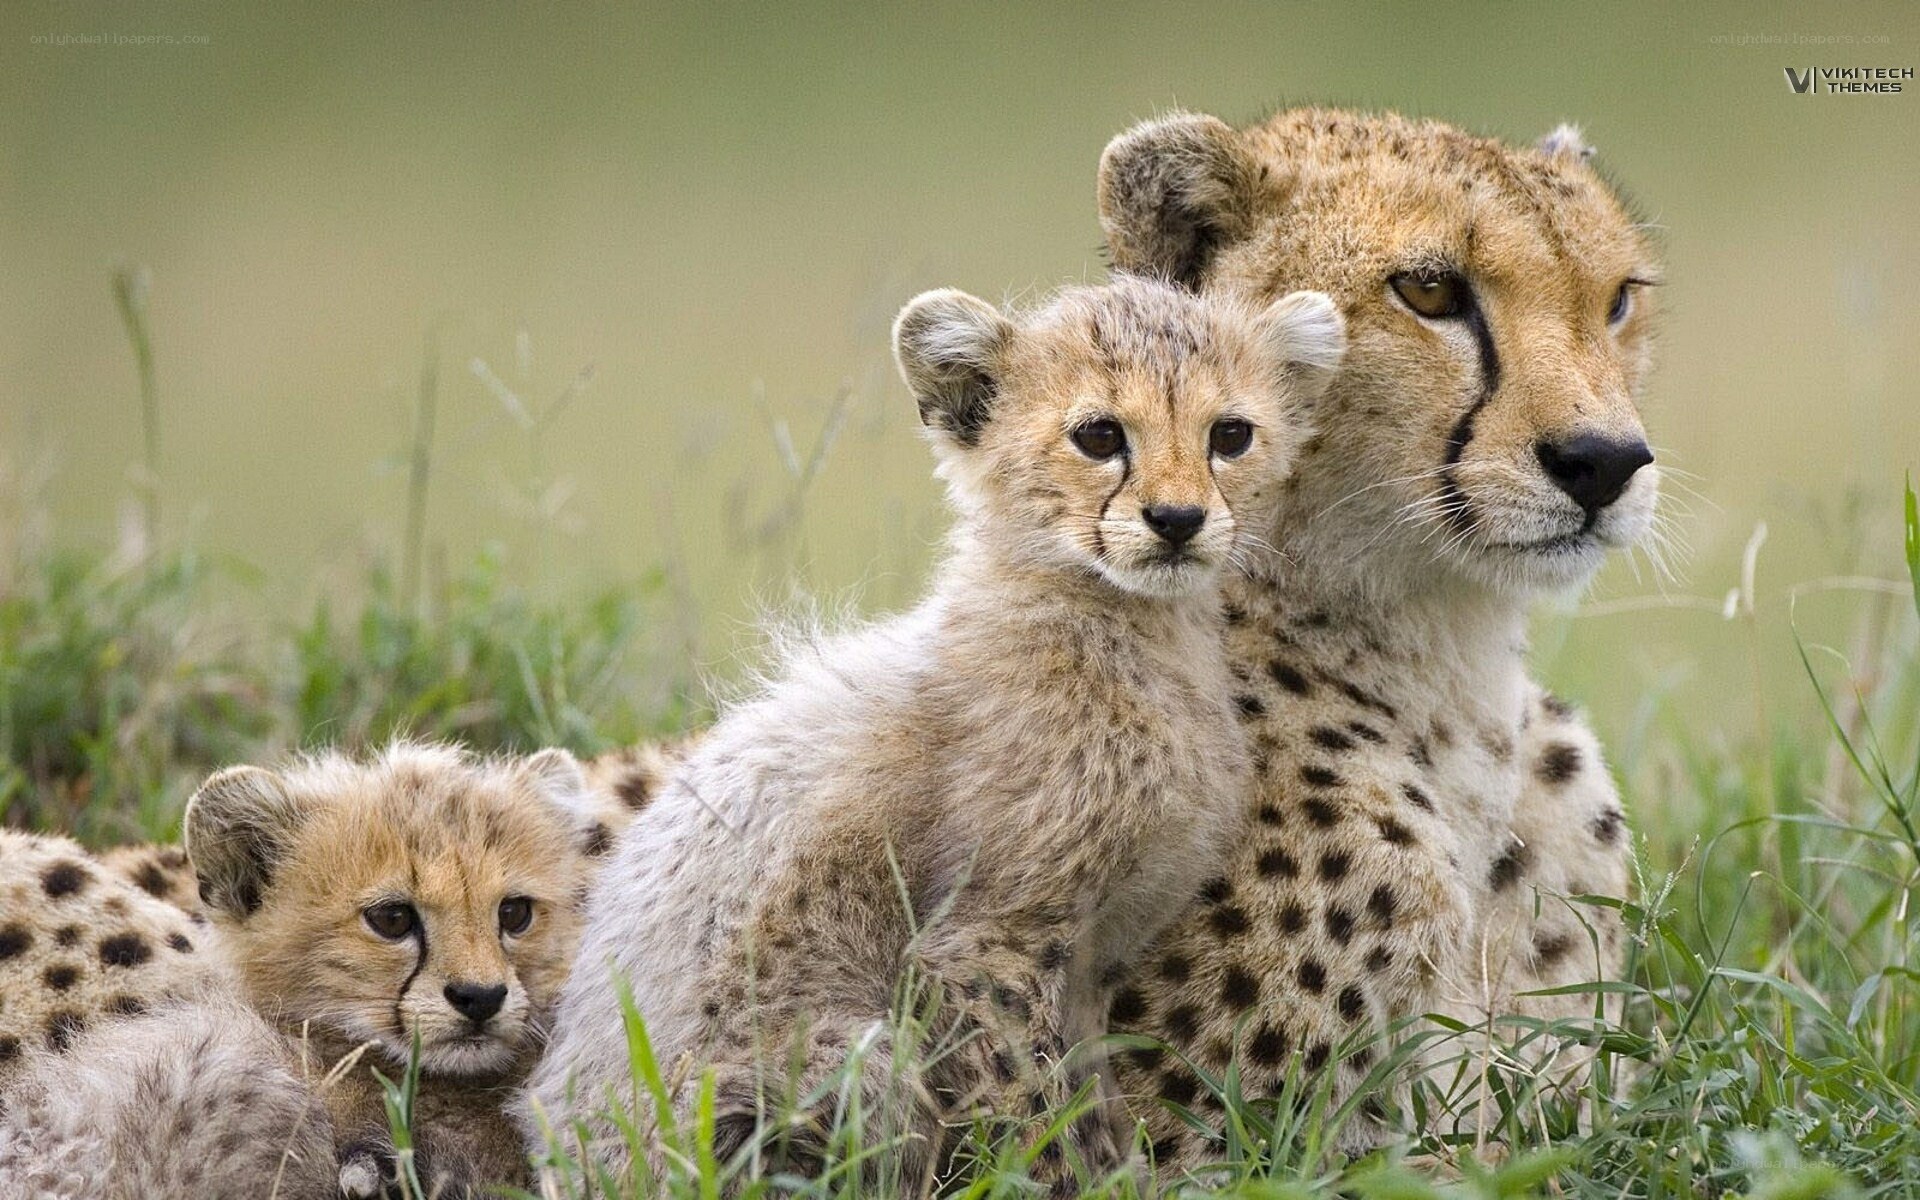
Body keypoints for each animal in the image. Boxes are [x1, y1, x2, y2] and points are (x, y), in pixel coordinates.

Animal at [522, 273, 1347, 1195]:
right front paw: (1056, 1178)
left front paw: (1120, 1172)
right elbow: (1036, 1113)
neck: (1128, 629)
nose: (1177, 519)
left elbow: (1090, 1100)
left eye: (1230, 435)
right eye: (1100, 435)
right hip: (843, 1060)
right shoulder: (982, 945)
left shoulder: (1091, 963)